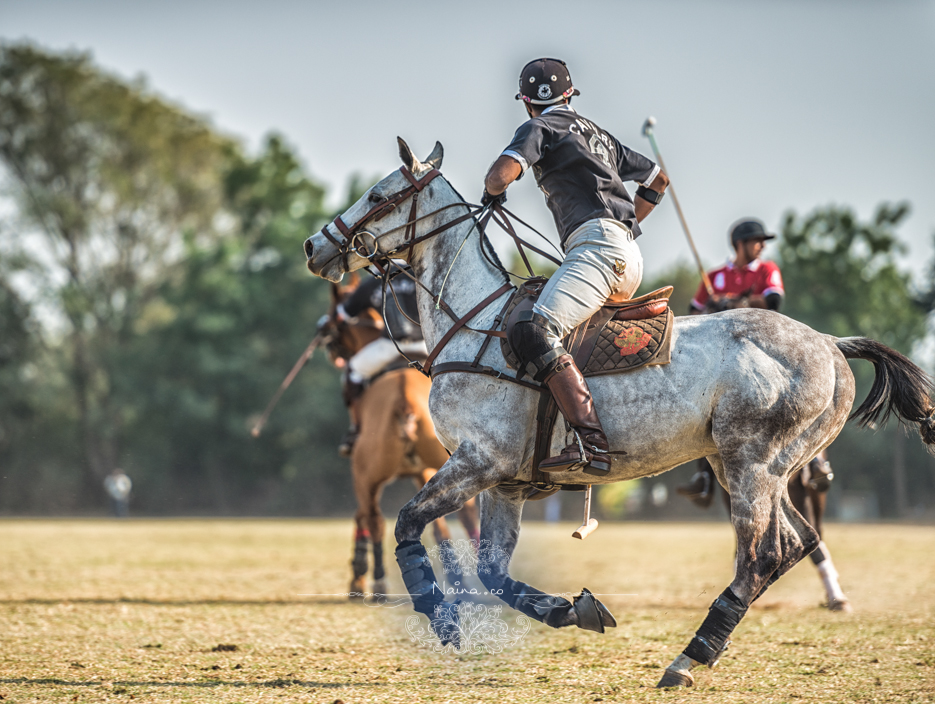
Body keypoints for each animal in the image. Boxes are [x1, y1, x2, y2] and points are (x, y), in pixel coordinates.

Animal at [324, 278, 482, 596]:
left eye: (334, 312)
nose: (328, 348)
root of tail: (404, 402)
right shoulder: (423, 471)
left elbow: (363, 516)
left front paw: (358, 575)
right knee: (462, 514)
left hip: (366, 474)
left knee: (375, 520)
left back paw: (379, 583)